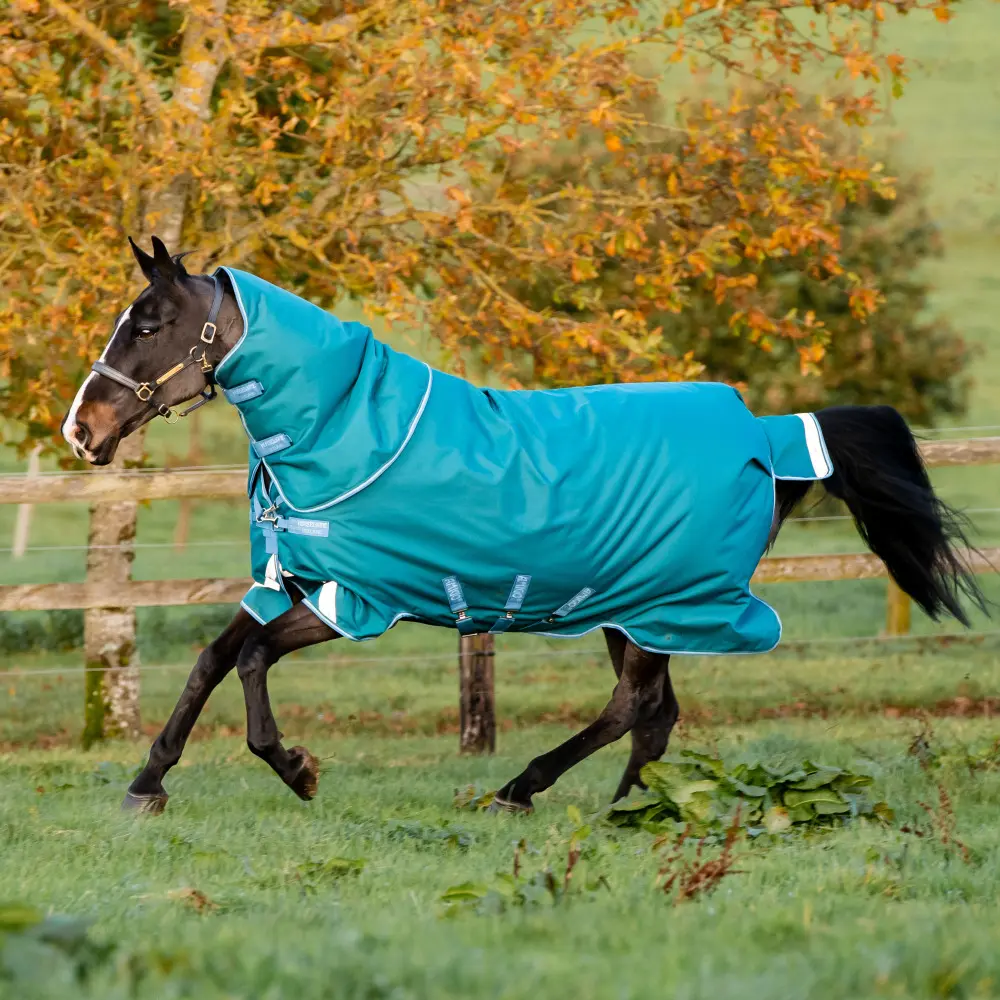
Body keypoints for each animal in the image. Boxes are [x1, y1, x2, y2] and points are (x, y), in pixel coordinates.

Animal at [62, 237, 986, 815]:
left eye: (148, 325)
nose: (81, 429)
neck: (346, 427)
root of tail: (768, 434)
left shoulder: (354, 599)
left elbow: (251, 659)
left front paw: (297, 770)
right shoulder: (294, 583)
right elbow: (211, 660)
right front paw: (147, 784)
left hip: (658, 607)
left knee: (633, 707)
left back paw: (527, 791)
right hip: (630, 609)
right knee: (653, 715)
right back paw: (624, 806)